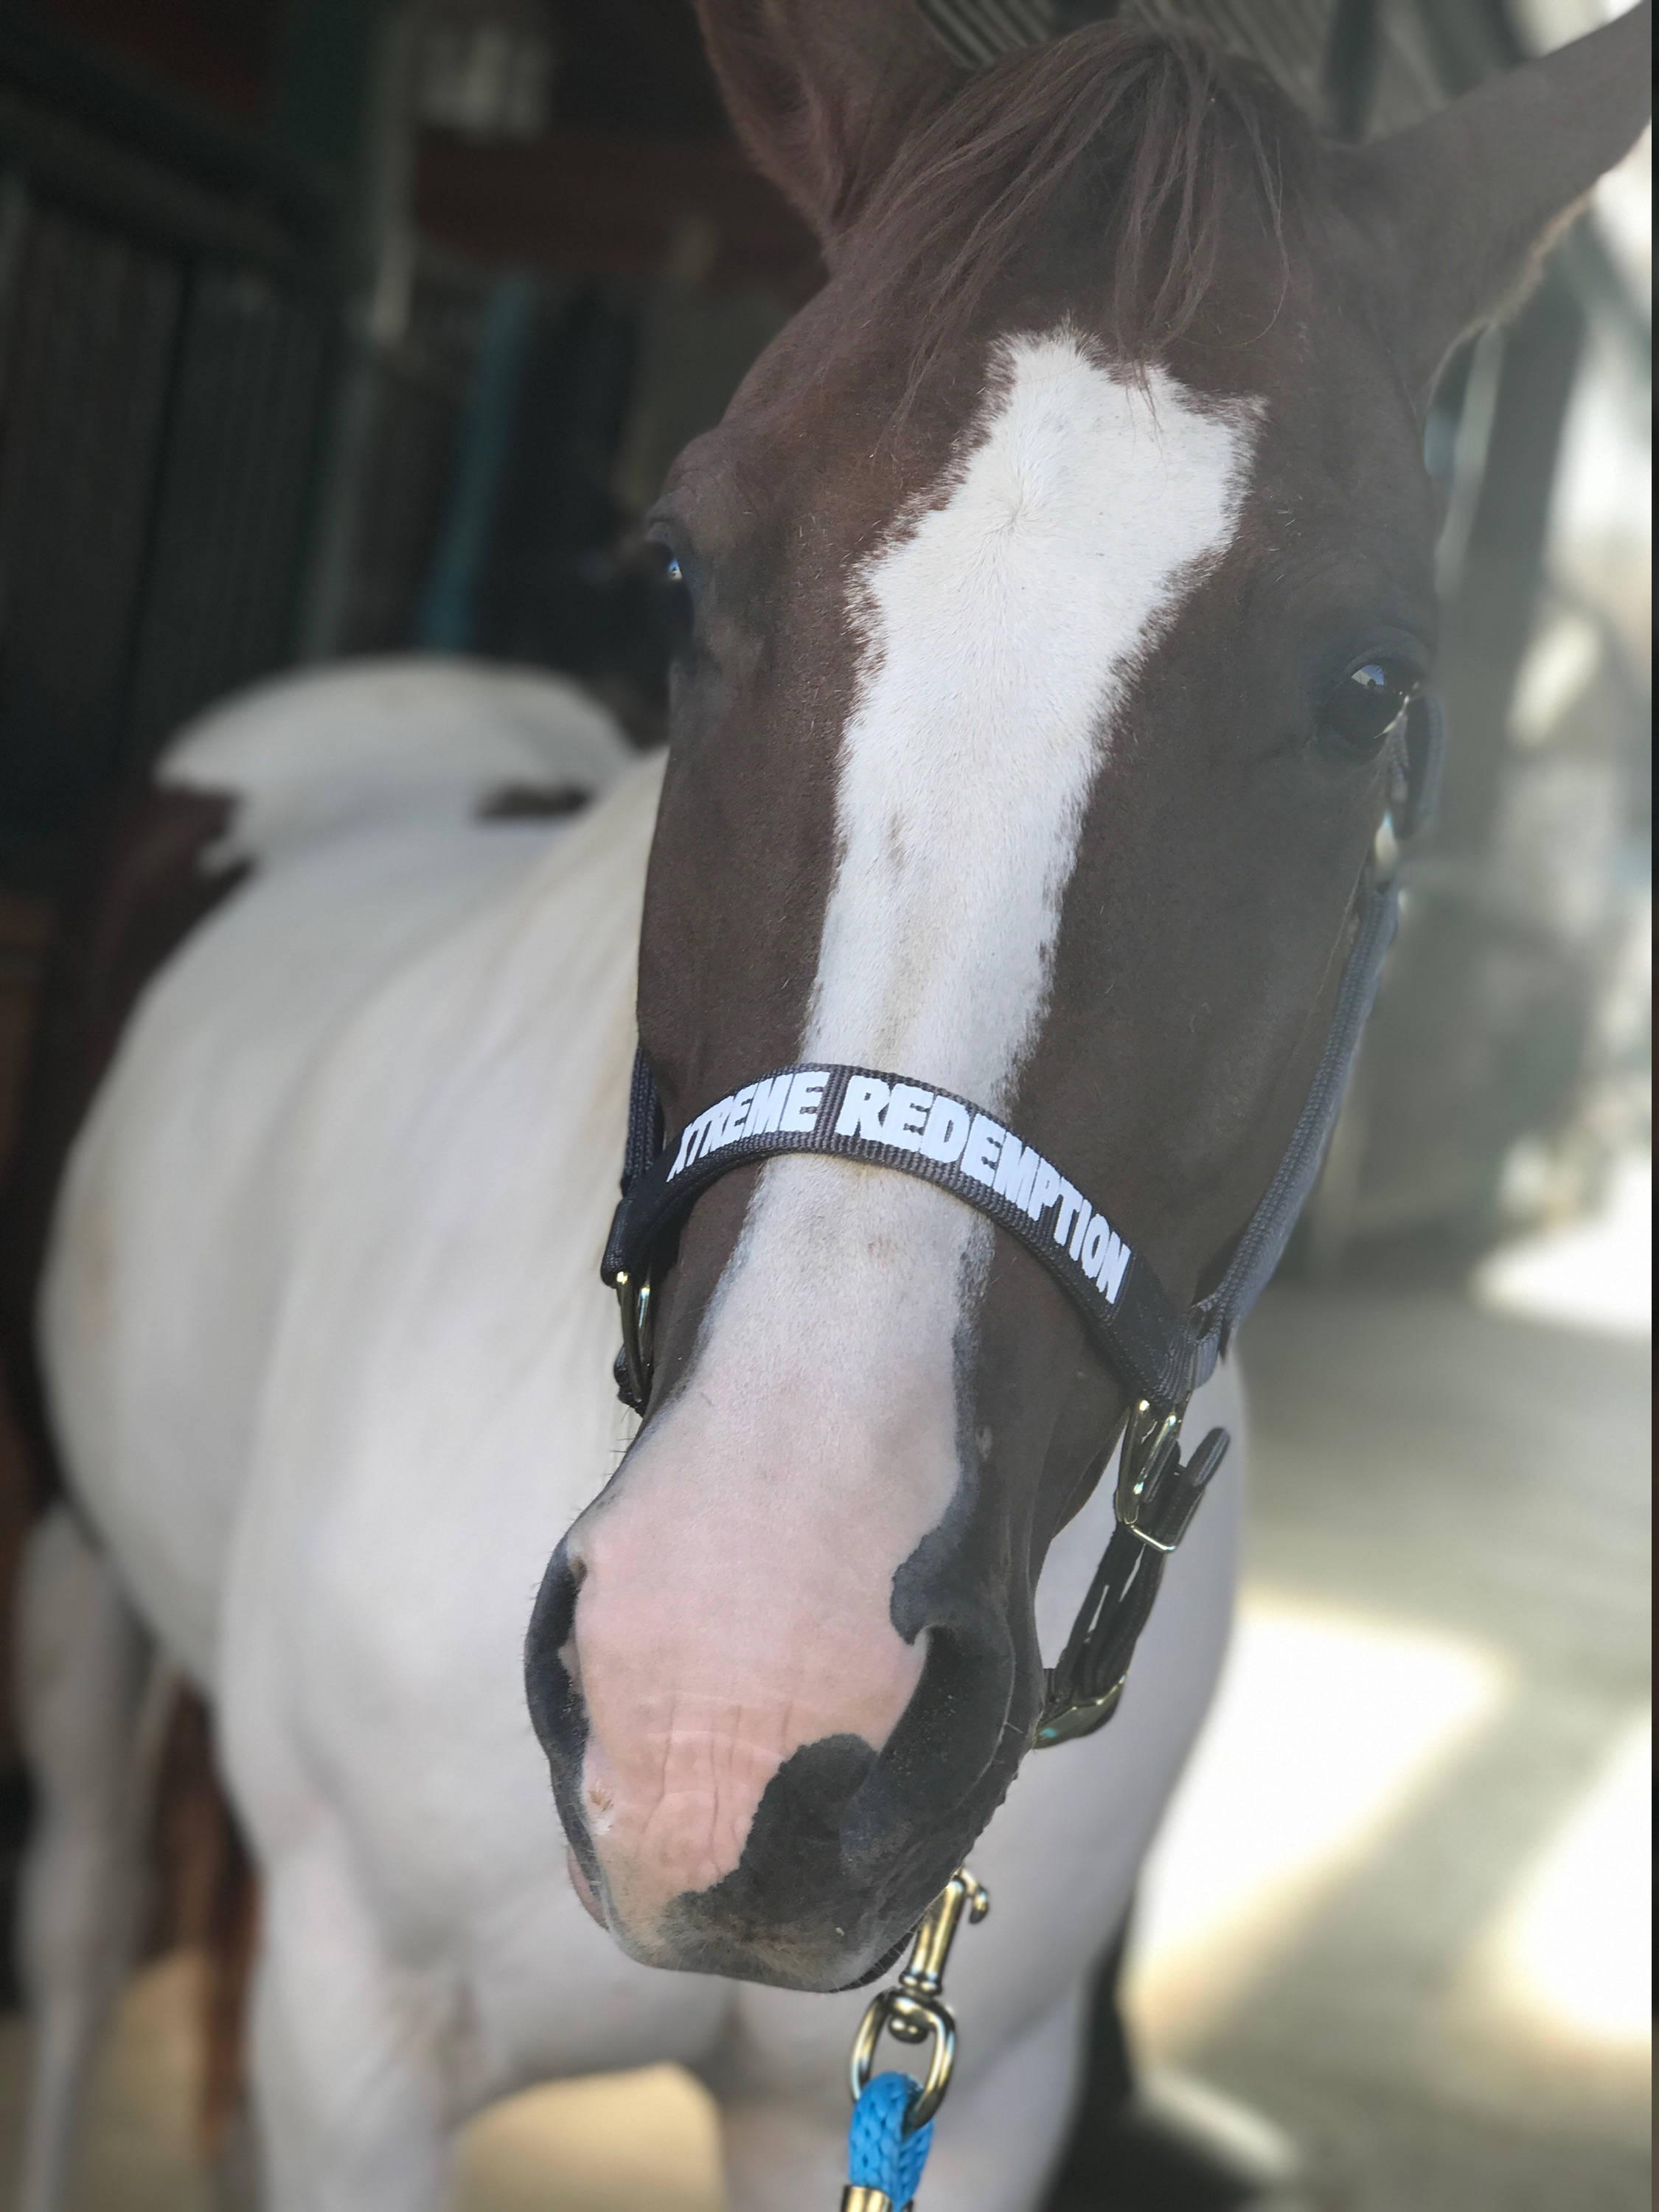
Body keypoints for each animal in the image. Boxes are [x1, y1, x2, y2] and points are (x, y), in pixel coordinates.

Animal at [4, 5, 1648, 2207]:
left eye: (1372, 684)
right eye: (679, 561)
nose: (730, 1697)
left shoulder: (951, 2090)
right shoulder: (354, 2044)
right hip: (77, 1563)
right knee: (86, 1909)